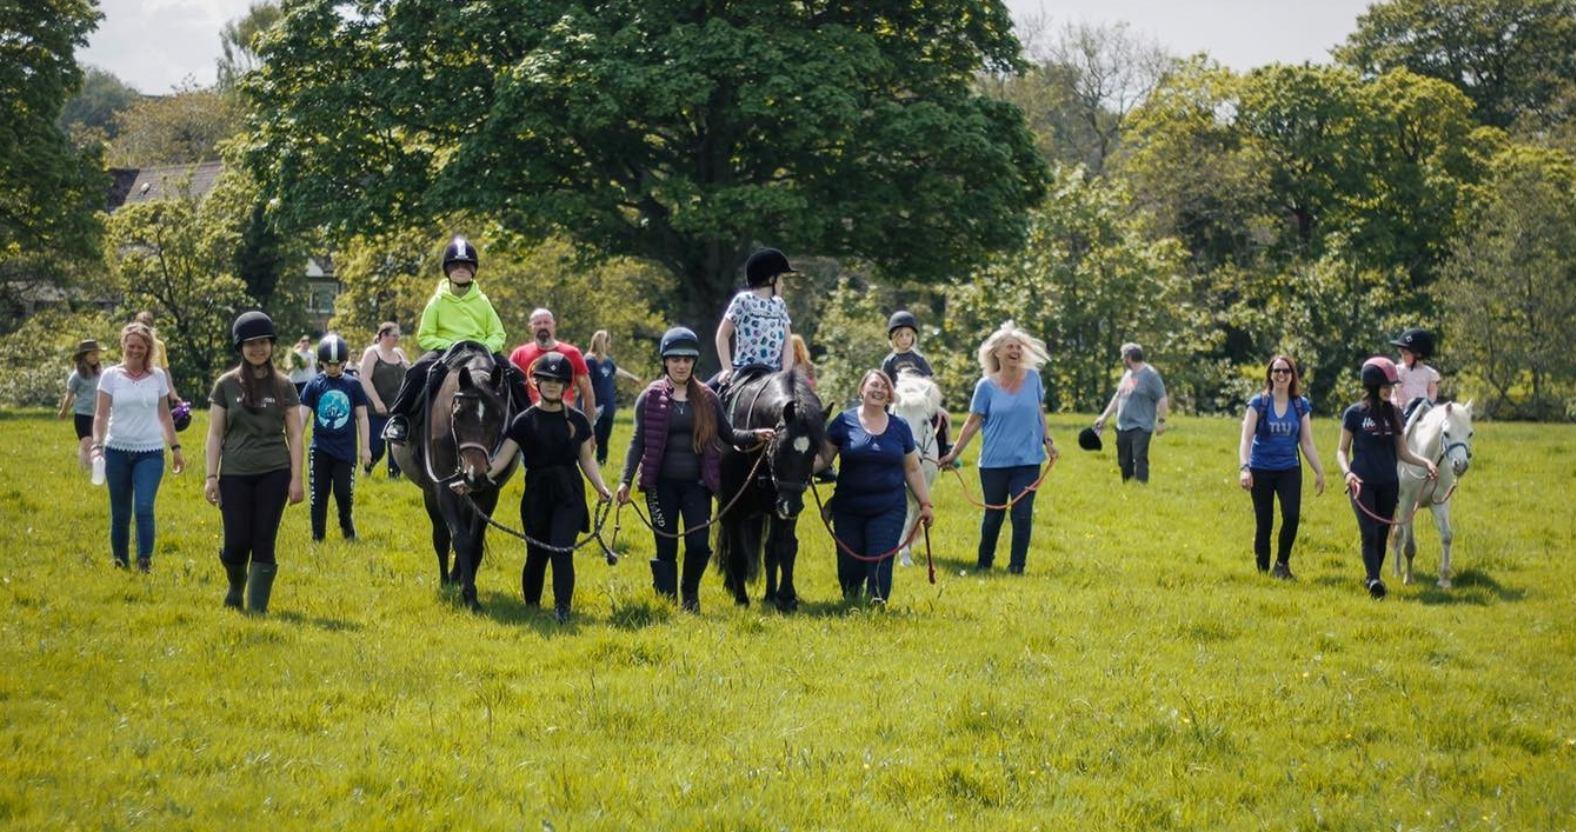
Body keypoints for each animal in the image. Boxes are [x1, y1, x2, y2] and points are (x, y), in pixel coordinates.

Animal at [392, 345, 520, 611]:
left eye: (498, 415)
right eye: (458, 414)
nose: (474, 474)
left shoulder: (489, 492)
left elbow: (474, 541)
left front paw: (466, 587)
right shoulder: (443, 488)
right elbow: (458, 538)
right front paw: (468, 594)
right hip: (430, 493)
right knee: (441, 536)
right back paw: (446, 581)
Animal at [1399, 401, 1468, 586]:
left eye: (1470, 433)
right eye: (1446, 433)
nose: (1461, 465)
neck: (1425, 460)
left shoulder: (1439, 502)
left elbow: (1446, 536)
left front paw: (1444, 579)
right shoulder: (1407, 504)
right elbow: (1409, 546)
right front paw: (1408, 579)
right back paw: (1397, 571)